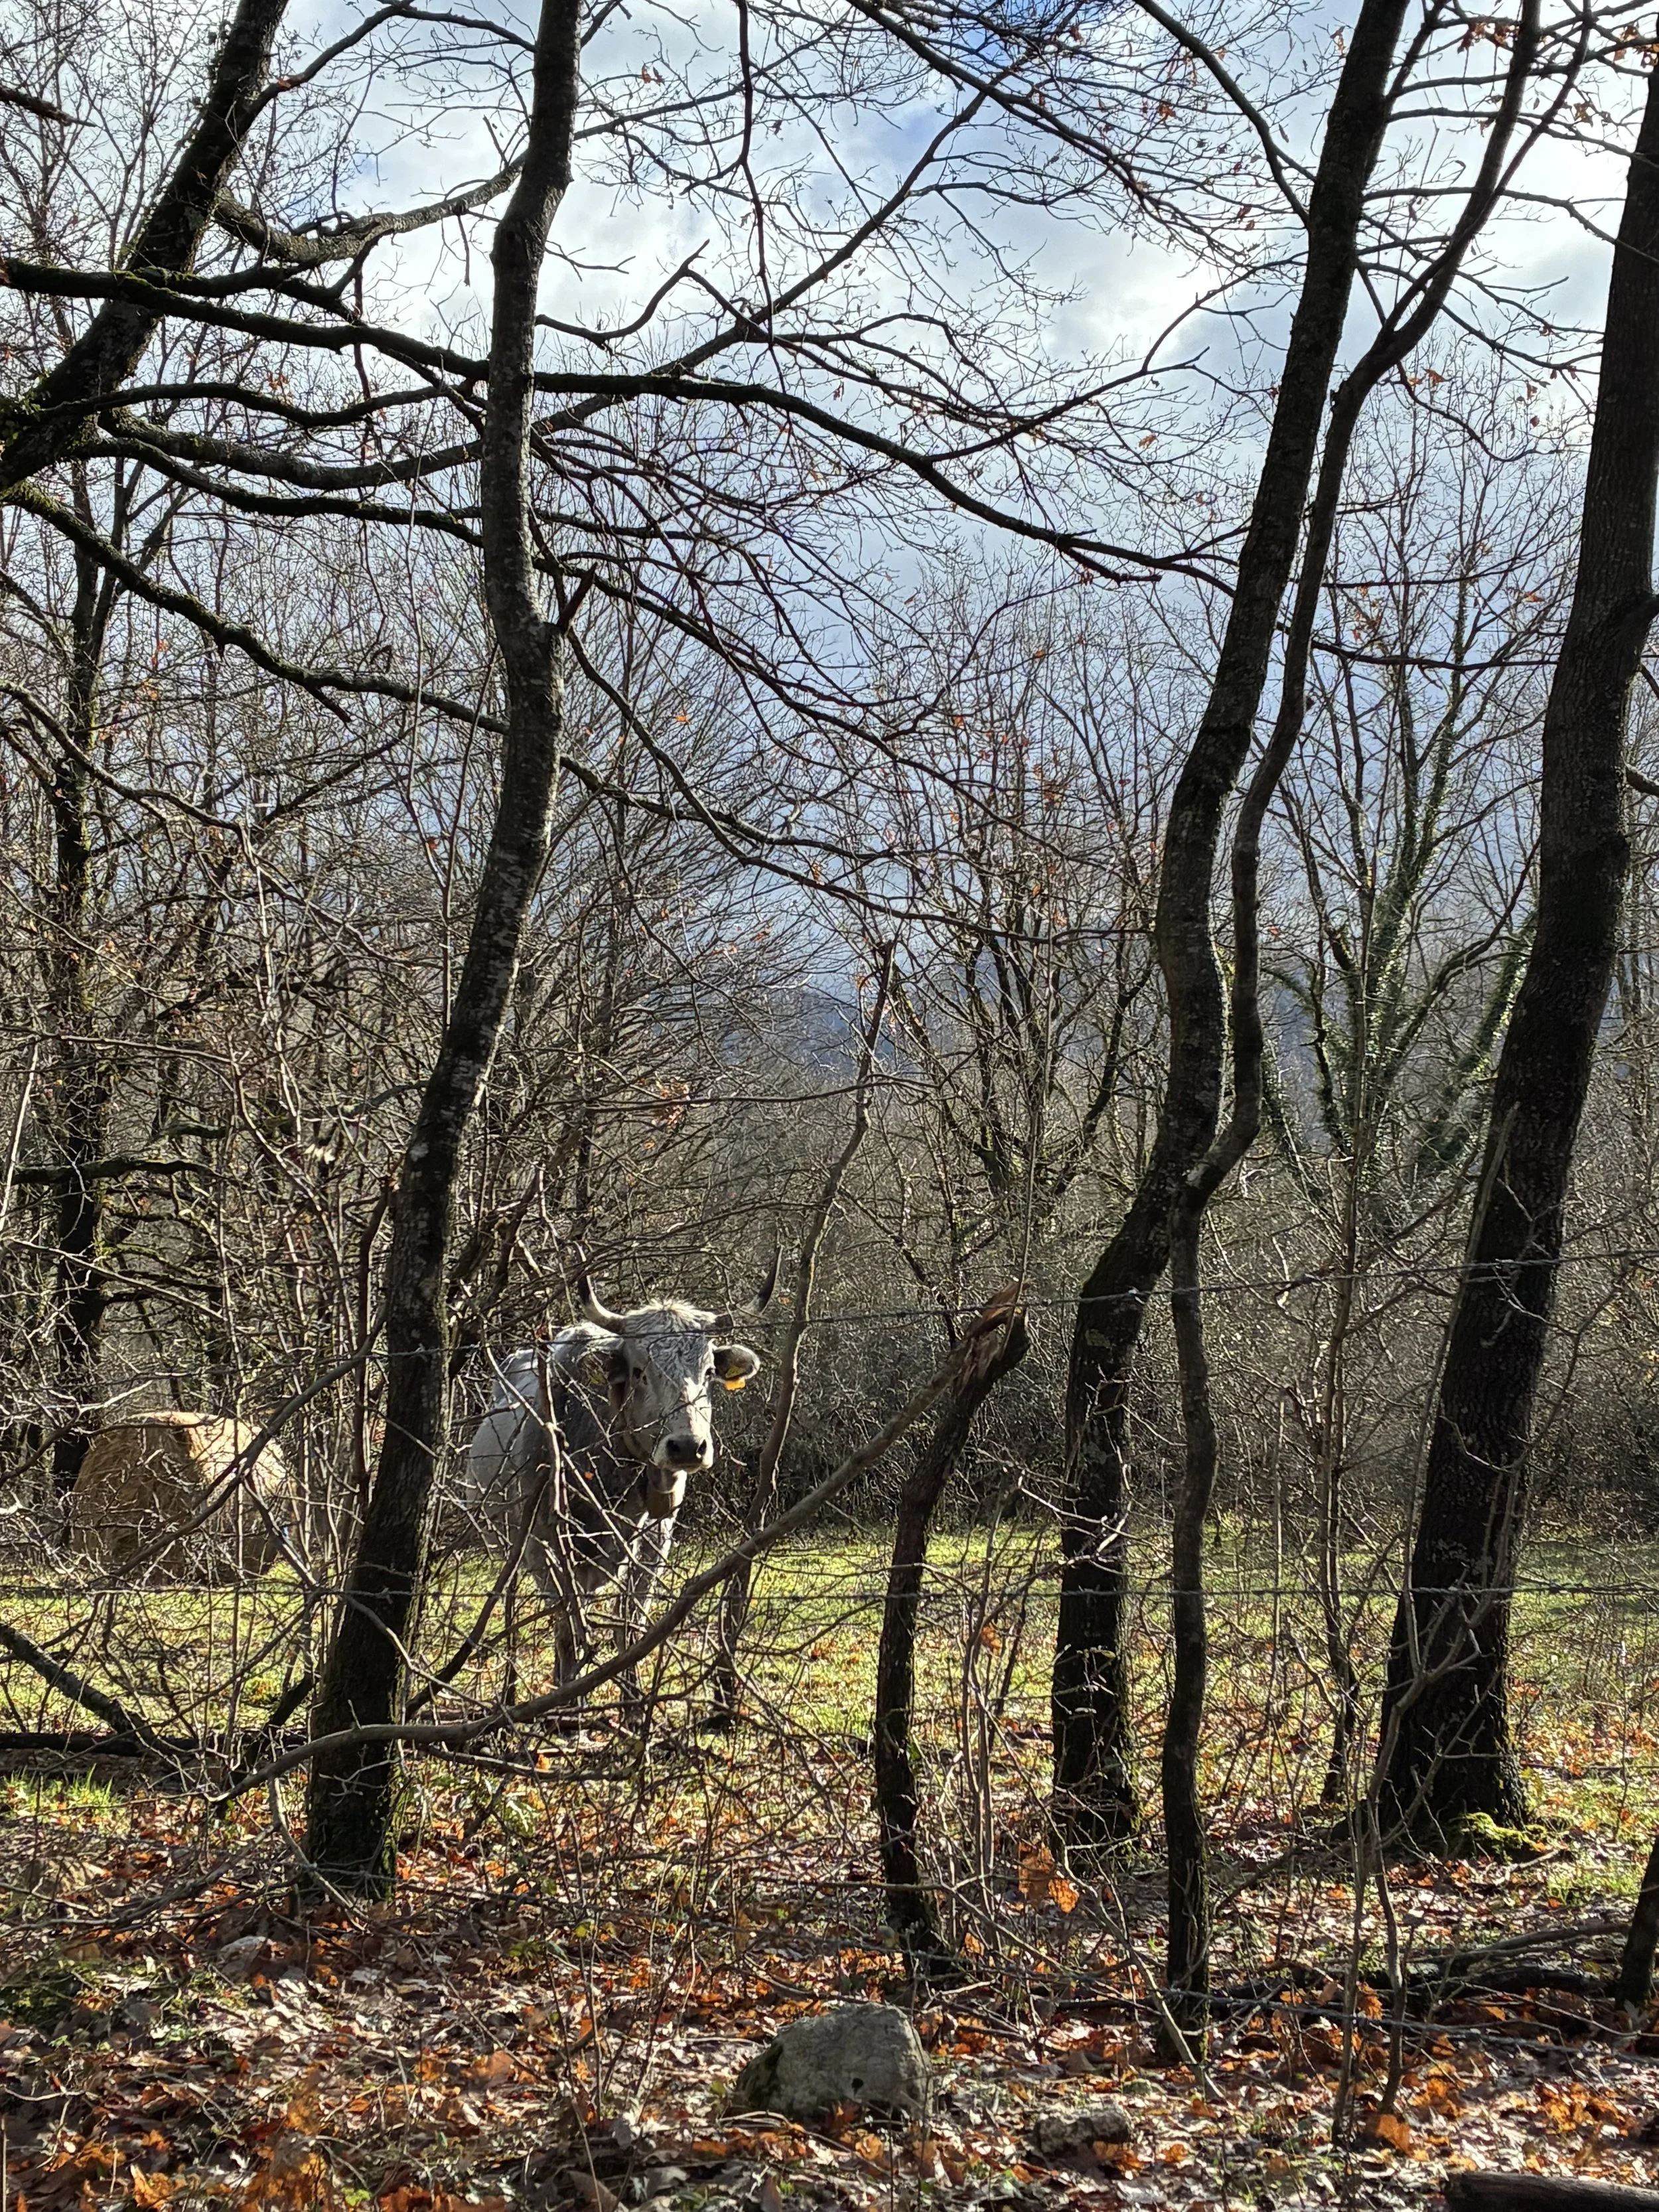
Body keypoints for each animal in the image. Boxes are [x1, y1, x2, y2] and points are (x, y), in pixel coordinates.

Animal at [464, 1271, 773, 1710]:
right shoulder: (547, 1547)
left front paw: (631, 1710)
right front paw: (567, 1714)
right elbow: (567, 1631)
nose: (687, 1447)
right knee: (511, 1607)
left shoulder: (654, 1541)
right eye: (640, 1370)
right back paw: (511, 1692)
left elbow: (629, 1629)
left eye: (710, 1370)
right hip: (513, 1545)